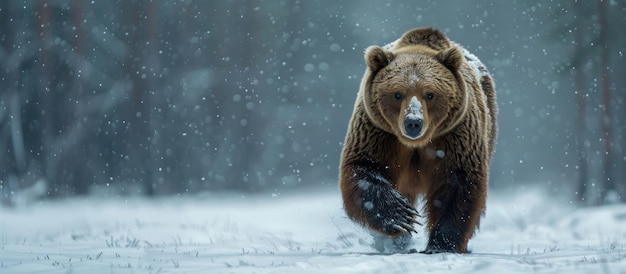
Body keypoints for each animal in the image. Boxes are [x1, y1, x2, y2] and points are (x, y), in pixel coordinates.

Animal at [338, 26, 494, 254]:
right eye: (397, 94)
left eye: (430, 94)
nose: (413, 122)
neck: (417, 144)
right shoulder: (378, 132)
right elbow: (365, 167)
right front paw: (399, 216)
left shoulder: (454, 135)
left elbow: (457, 184)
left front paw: (441, 244)